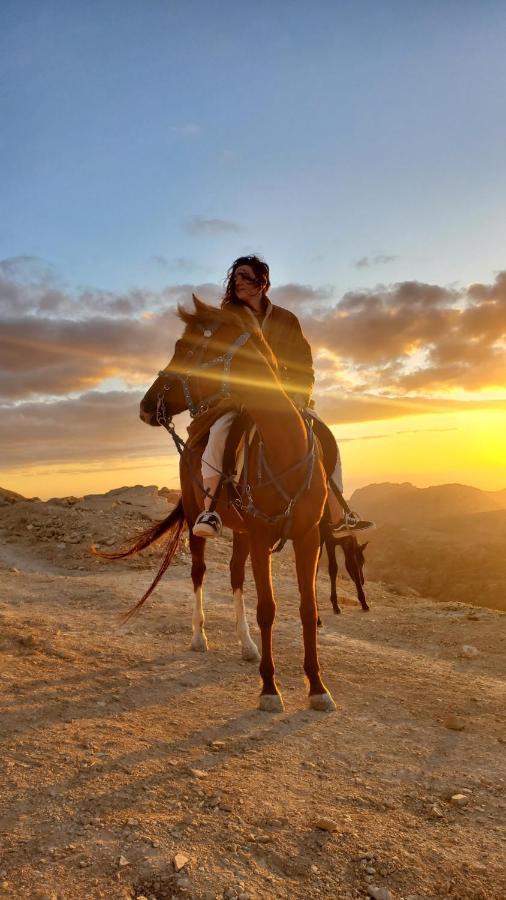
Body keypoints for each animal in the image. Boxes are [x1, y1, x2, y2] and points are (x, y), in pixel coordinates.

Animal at [99, 296, 336, 712]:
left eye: (184, 348)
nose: (146, 405)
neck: (283, 450)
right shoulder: (261, 538)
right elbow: (267, 609)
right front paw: (269, 688)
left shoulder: (307, 538)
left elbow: (308, 610)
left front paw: (317, 687)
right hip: (201, 522)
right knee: (199, 573)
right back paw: (199, 637)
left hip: (241, 533)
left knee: (235, 577)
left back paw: (246, 645)